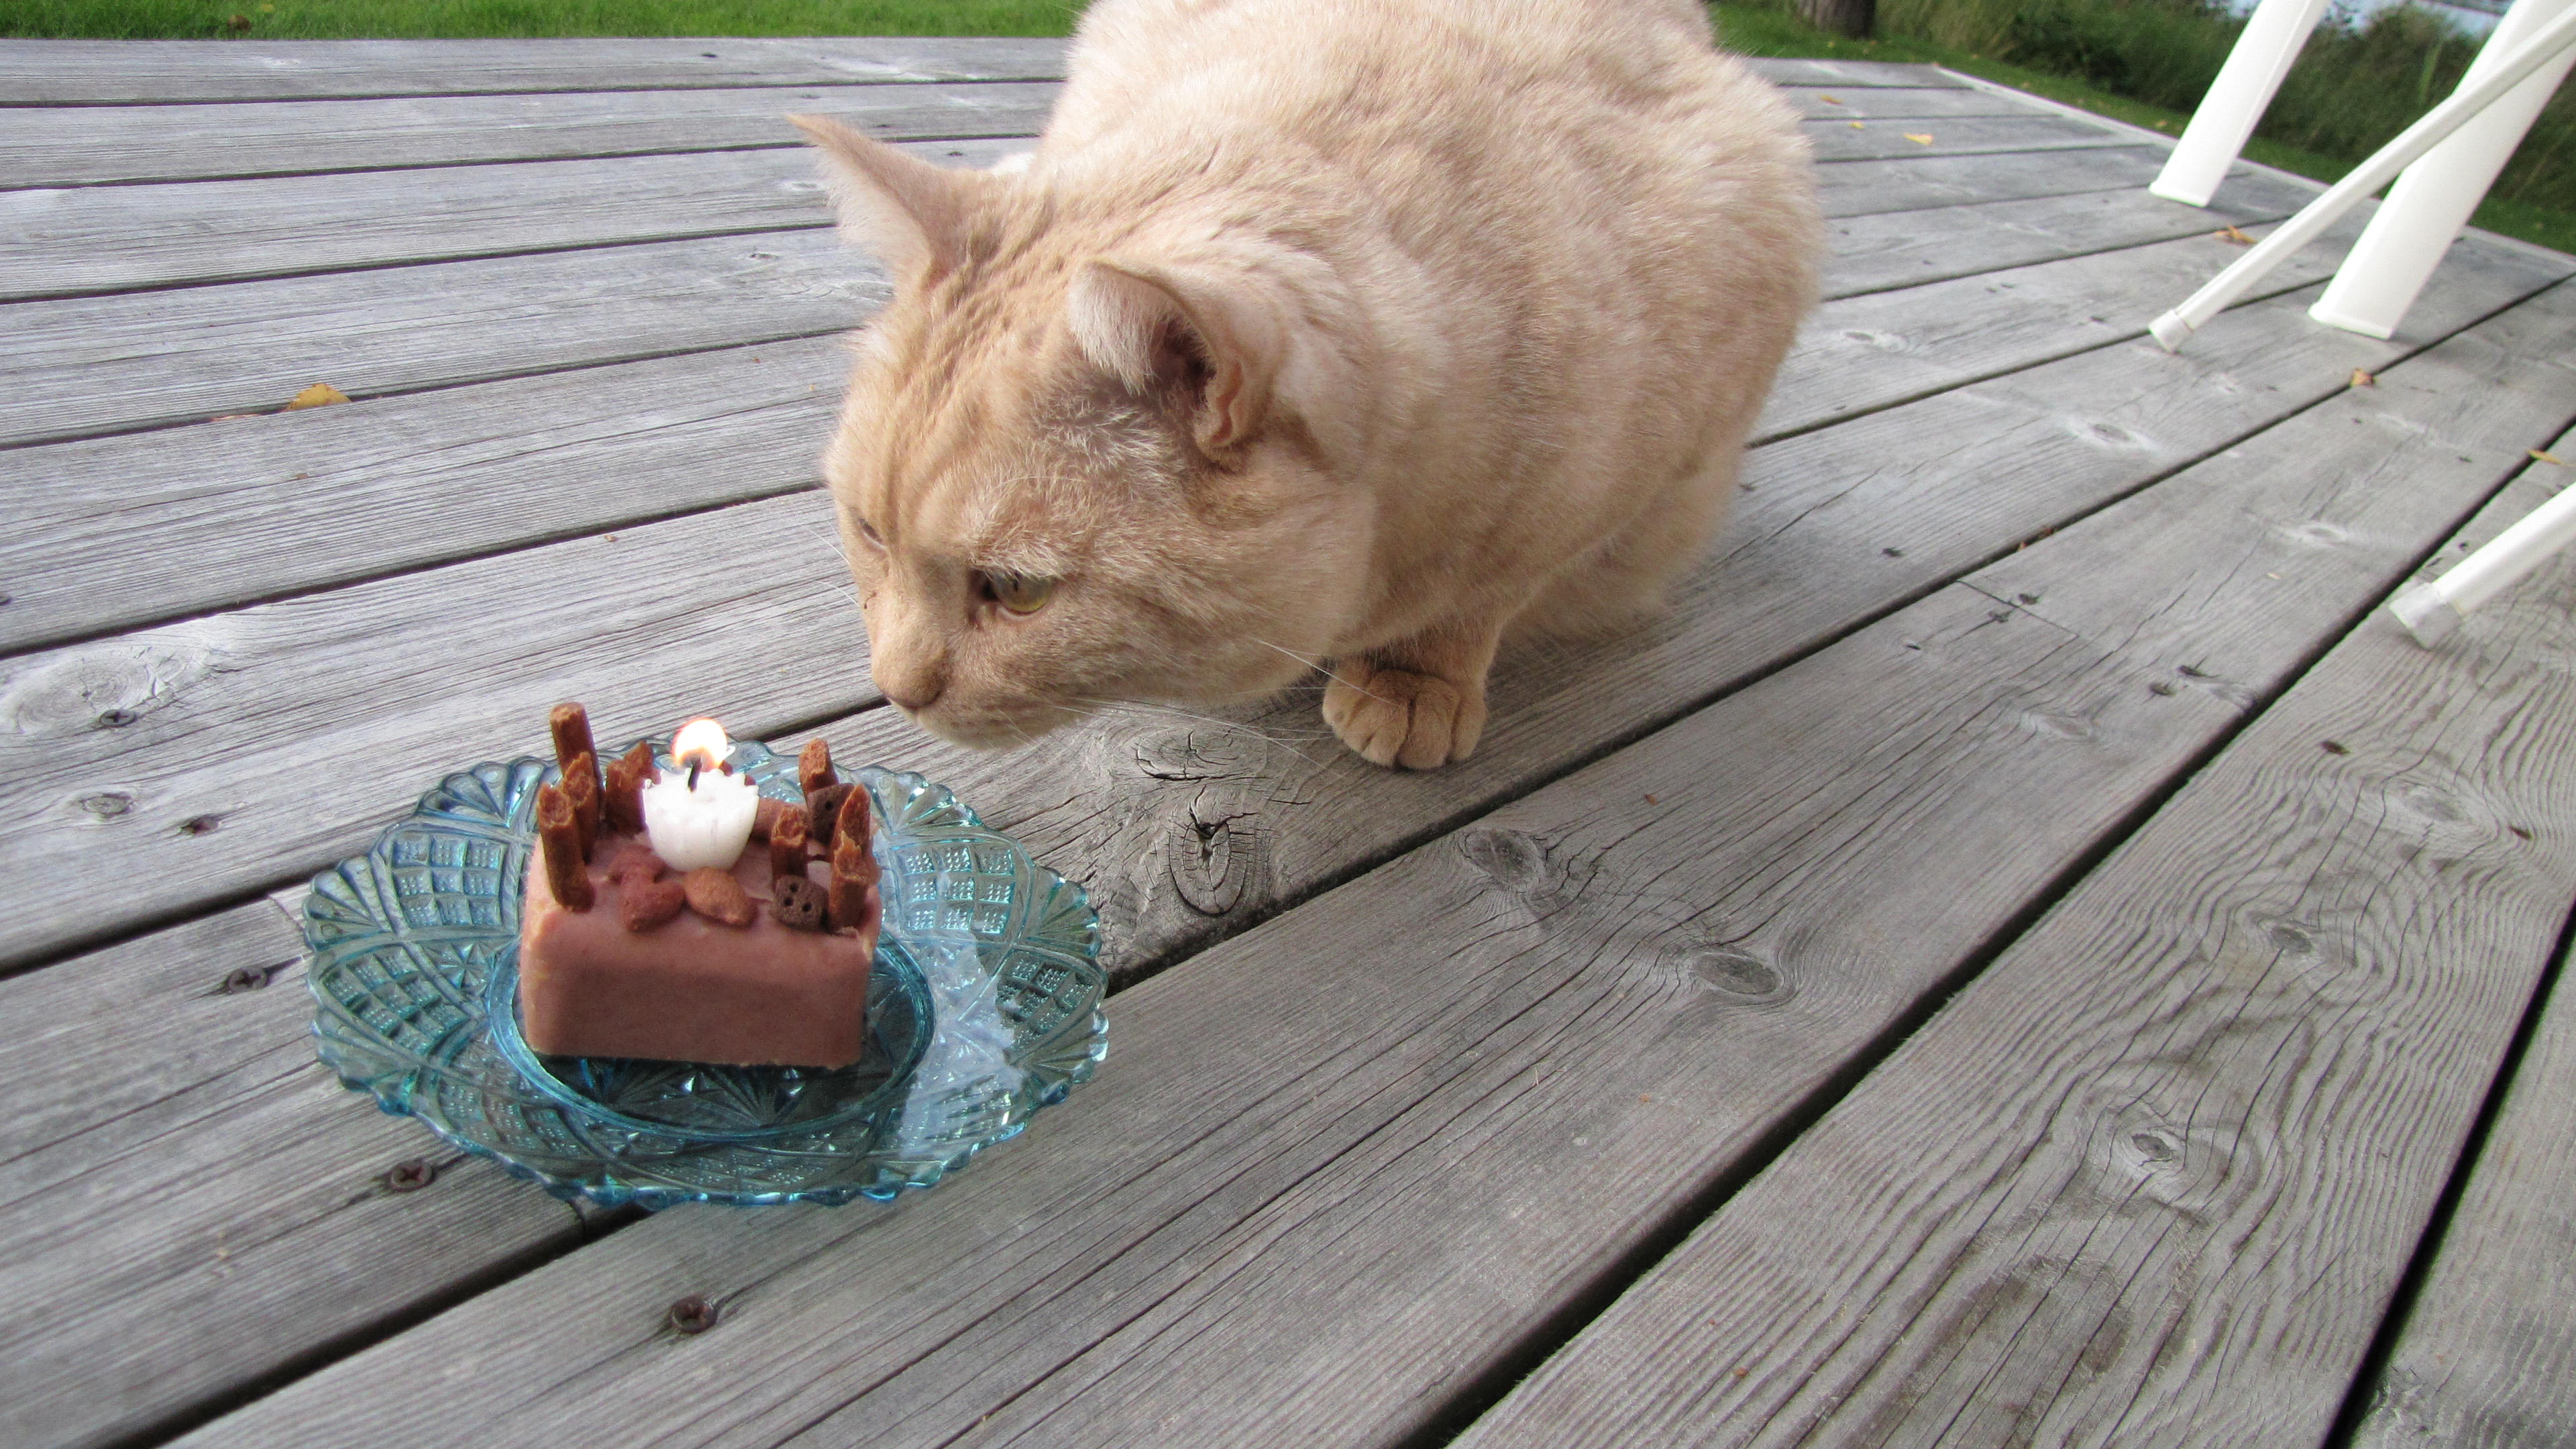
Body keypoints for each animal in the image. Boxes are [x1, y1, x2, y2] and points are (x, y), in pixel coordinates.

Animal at [792, 0, 1818, 770]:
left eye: (1017, 591)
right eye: (869, 531)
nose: (896, 689)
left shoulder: (1627, 457)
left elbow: (1482, 594)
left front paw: (1416, 680)